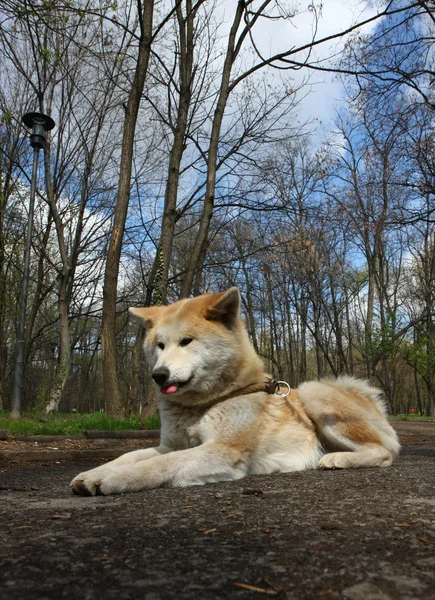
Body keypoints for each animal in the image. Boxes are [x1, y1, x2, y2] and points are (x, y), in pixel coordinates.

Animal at [71, 288, 402, 494]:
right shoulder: (172, 445)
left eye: (187, 341)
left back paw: (339, 459)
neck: (204, 403)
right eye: (160, 345)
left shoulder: (223, 449)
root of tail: (368, 398)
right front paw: (95, 473)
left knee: (384, 453)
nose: (159, 375)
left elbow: (157, 465)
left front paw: (115, 479)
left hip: (313, 394)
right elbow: (131, 455)